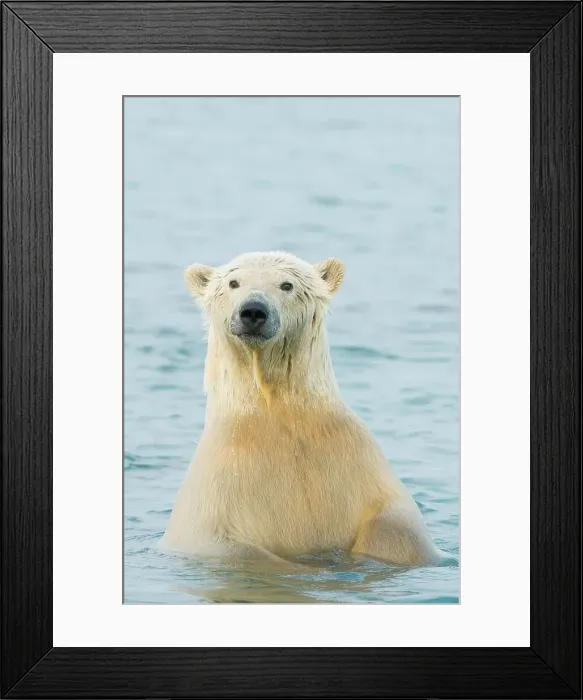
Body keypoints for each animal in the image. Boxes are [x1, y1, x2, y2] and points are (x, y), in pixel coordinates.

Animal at [162, 251, 439, 566]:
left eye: (287, 284)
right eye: (234, 283)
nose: (253, 311)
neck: (276, 412)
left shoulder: (357, 466)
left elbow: (398, 527)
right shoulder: (214, 499)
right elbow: (231, 547)